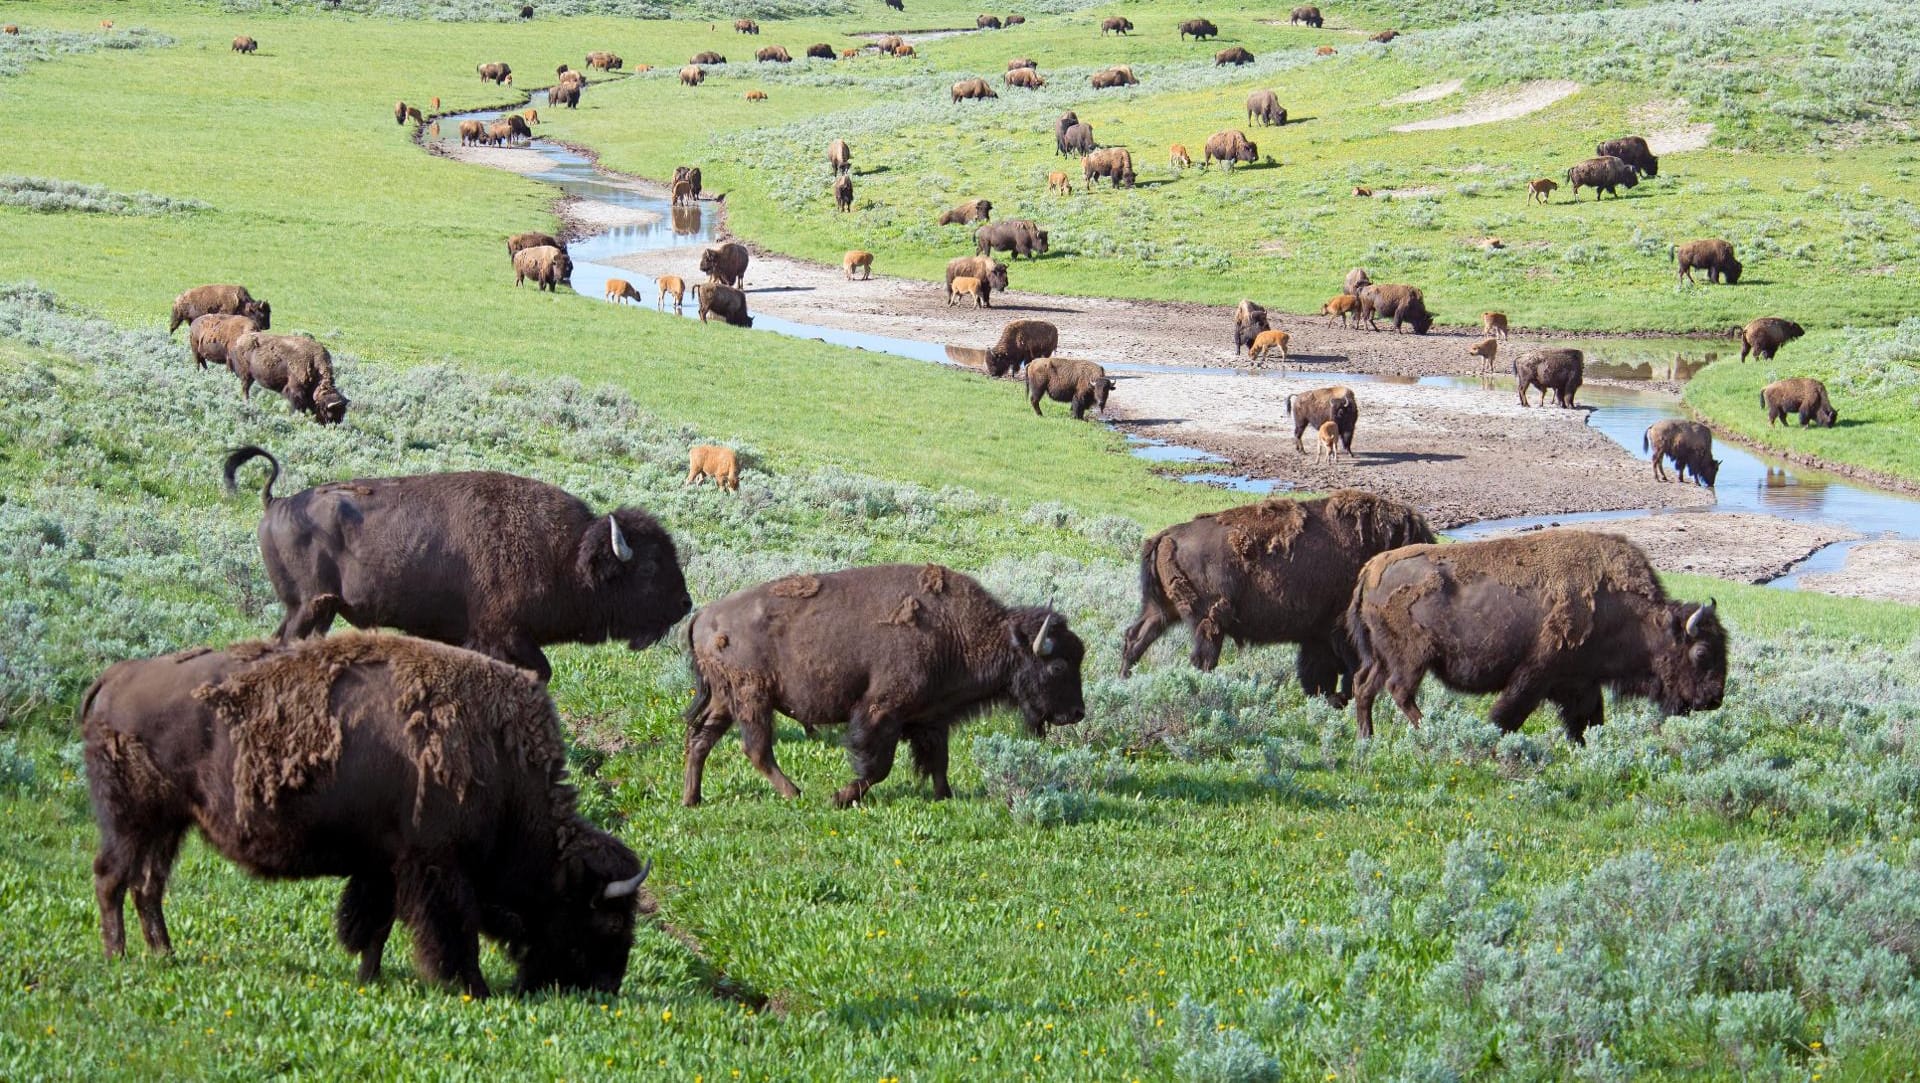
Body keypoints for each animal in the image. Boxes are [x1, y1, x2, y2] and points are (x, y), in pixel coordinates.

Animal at [78, 633, 652, 998]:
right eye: (606, 919)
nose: (606, 988)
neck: (501, 763)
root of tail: (112, 677)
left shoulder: (384, 866)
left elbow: (375, 924)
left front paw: (368, 978)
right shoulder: (437, 868)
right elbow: (451, 932)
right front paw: (472, 988)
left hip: (168, 825)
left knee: (147, 886)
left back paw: (163, 954)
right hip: (132, 822)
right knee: (111, 878)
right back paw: (117, 956)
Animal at [224, 443, 691, 679]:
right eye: (649, 567)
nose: (685, 604)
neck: (567, 553)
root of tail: (276, 502)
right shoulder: (502, 636)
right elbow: (538, 672)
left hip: (315, 611)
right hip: (310, 607)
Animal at [687, 568, 1082, 802]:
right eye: (1059, 665)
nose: (1077, 713)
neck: (960, 634)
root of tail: (703, 615)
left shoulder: (931, 719)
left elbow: (939, 761)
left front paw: (945, 796)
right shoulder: (881, 713)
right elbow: (878, 767)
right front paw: (840, 797)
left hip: (726, 700)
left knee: (700, 740)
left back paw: (692, 799)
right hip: (752, 699)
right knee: (755, 748)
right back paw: (795, 792)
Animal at [1121, 487, 1436, 702]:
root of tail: (1165, 536)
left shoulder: (1318, 636)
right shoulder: (1338, 633)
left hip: (1161, 610)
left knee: (1135, 638)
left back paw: (1123, 680)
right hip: (1208, 621)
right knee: (1201, 658)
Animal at [1344, 529, 1735, 745]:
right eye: (1702, 653)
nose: (1714, 699)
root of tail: (1370, 569)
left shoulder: (1581, 683)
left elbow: (1588, 721)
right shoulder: (1535, 675)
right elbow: (1508, 715)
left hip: (1381, 657)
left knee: (1364, 687)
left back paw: (1367, 738)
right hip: (1411, 659)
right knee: (1398, 691)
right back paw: (1429, 731)